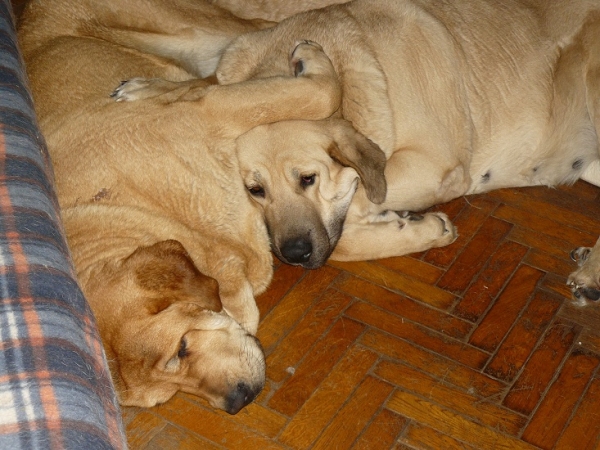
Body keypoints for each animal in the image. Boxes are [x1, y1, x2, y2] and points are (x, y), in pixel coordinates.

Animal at [16, 0, 342, 414]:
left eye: (181, 348)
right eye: (169, 394)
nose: (238, 400)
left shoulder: (216, 109)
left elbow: (323, 92)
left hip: (199, 32)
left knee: (253, 33)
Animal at [109, 0, 600, 302]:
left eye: (308, 179)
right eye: (255, 191)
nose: (293, 255)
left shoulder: (432, 165)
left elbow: (353, 212)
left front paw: (411, 226)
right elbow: (206, 86)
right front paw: (153, 90)